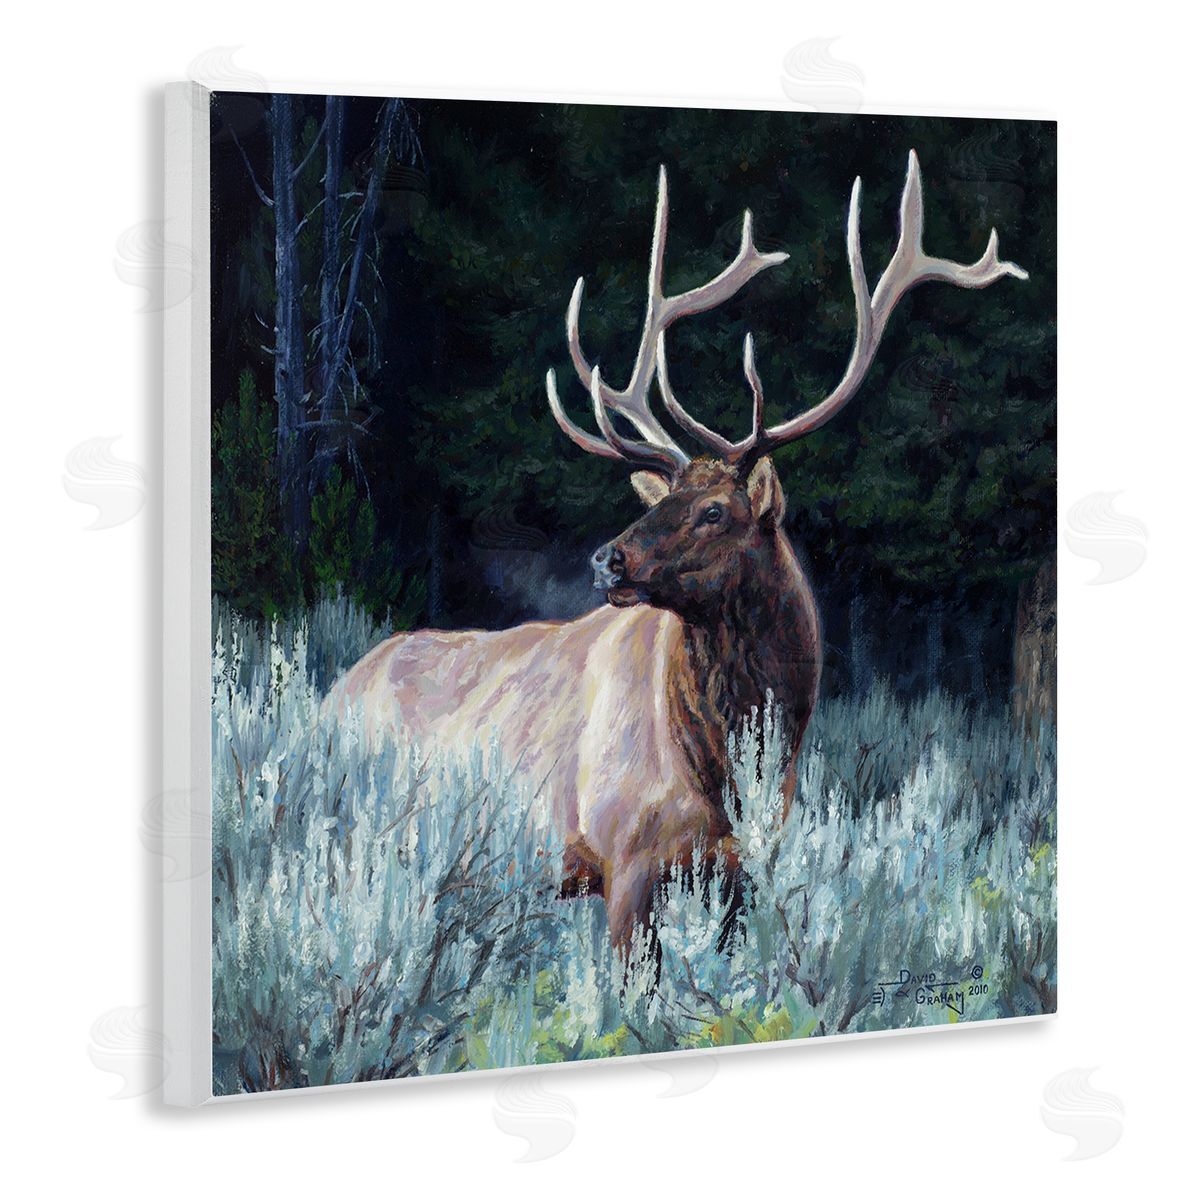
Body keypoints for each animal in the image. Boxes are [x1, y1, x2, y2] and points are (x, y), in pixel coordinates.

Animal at [329, 150, 1027, 950]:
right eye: (657, 502)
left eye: (714, 510)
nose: (606, 560)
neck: (736, 772)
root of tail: (330, 693)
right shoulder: (624, 859)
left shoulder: (744, 875)